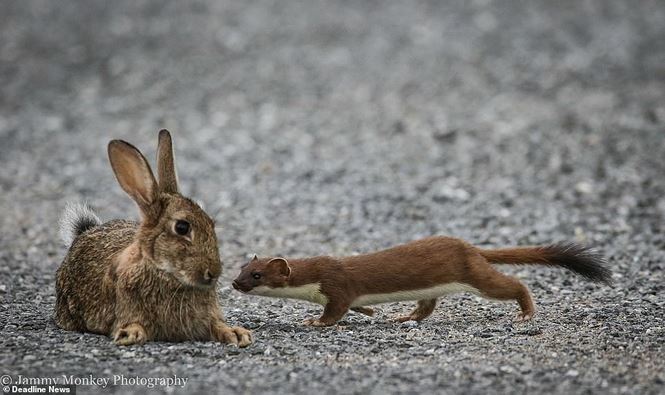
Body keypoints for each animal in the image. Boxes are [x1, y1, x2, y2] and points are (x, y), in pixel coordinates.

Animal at [53, 129, 252, 346]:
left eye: (211, 223)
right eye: (182, 227)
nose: (214, 272)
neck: (166, 274)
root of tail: (83, 234)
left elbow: (217, 325)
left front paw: (237, 334)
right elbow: (134, 324)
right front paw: (129, 334)